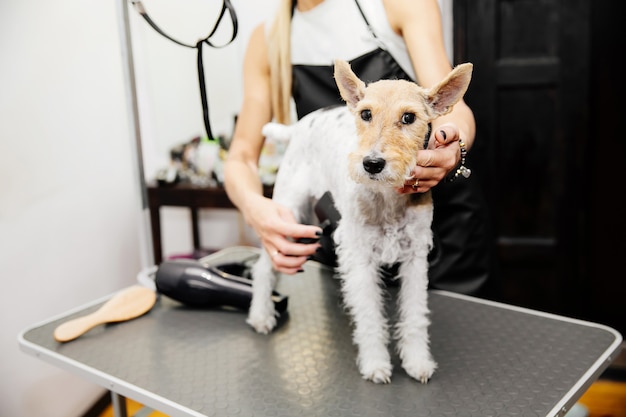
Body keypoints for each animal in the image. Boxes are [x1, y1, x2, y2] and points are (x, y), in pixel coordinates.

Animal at [246, 59, 470, 384]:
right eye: (366, 113)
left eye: (409, 117)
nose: (372, 164)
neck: (386, 196)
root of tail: (299, 126)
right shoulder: (361, 255)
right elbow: (369, 315)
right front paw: (375, 362)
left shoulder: (414, 256)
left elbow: (415, 314)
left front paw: (417, 361)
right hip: (287, 213)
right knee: (264, 266)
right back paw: (261, 315)